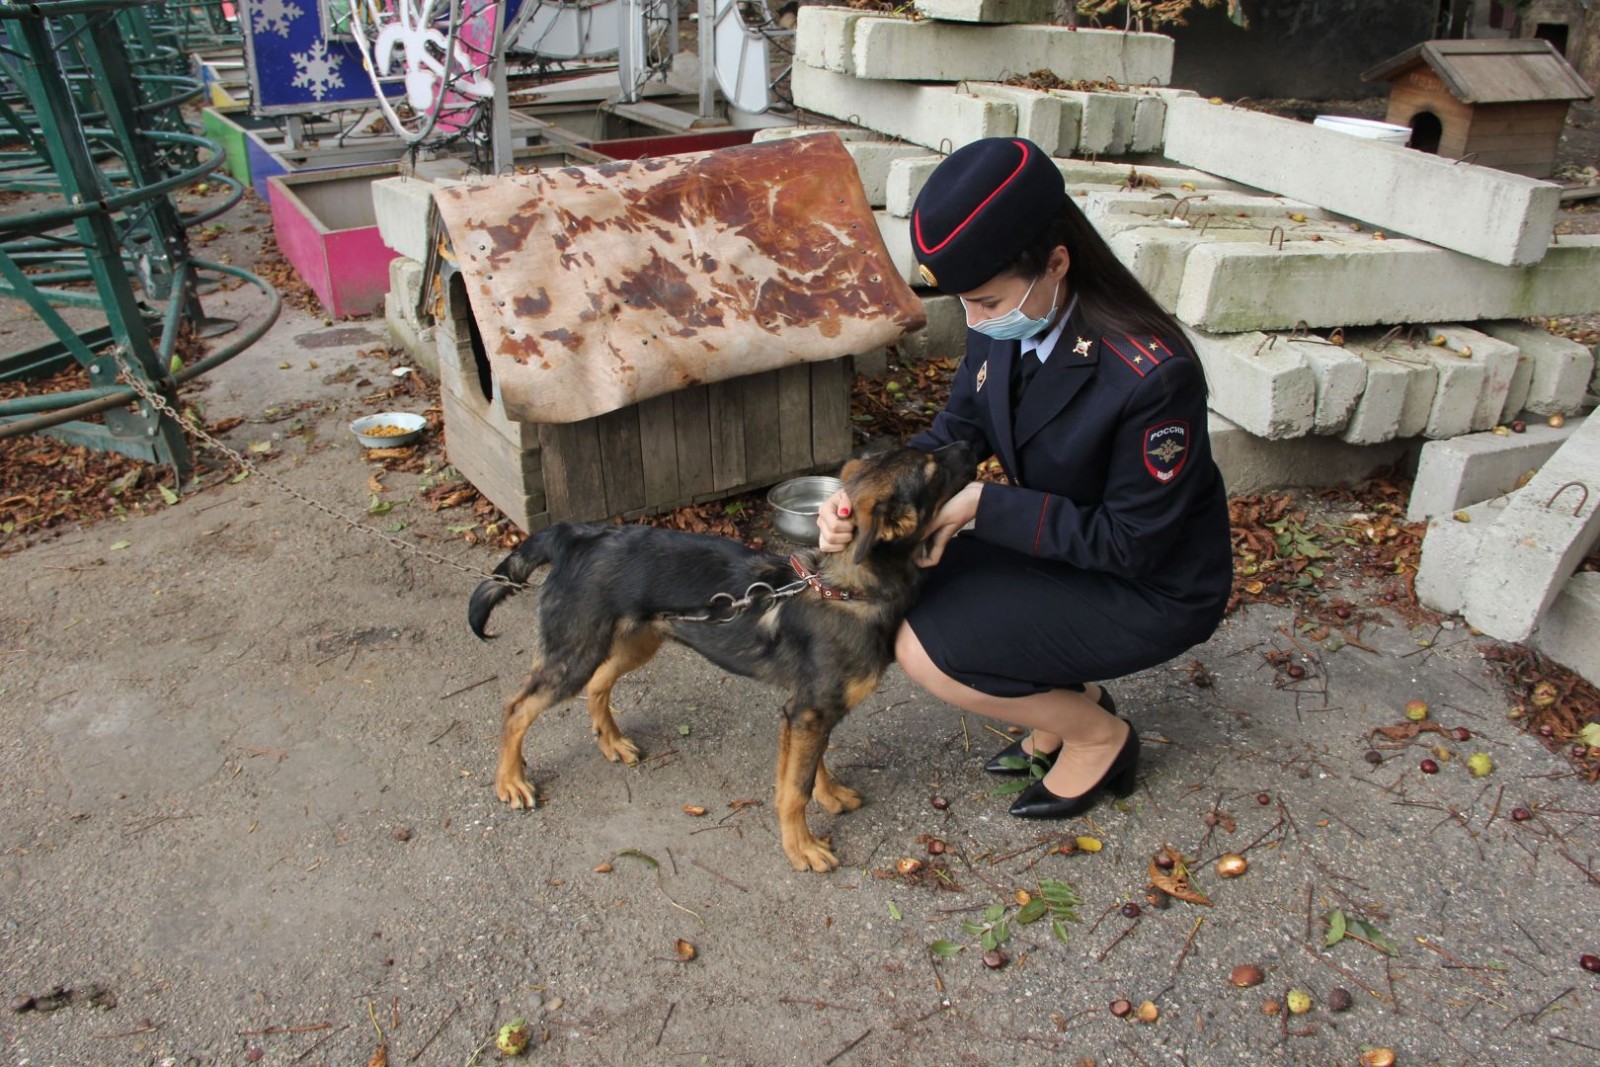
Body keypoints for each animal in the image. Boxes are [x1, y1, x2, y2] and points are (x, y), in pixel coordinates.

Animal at [467, 441, 972, 870]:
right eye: (933, 471)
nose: (967, 445)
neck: (846, 588)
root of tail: (578, 536)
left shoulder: (806, 711)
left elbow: (811, 768)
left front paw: (829, 796)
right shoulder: (809, 711)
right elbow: (794, 789)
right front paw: (802, 847)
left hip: (635, 641)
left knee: (598, 684)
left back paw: (611, 741)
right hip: (574, 654)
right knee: (517, 708)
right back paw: (510, 781)